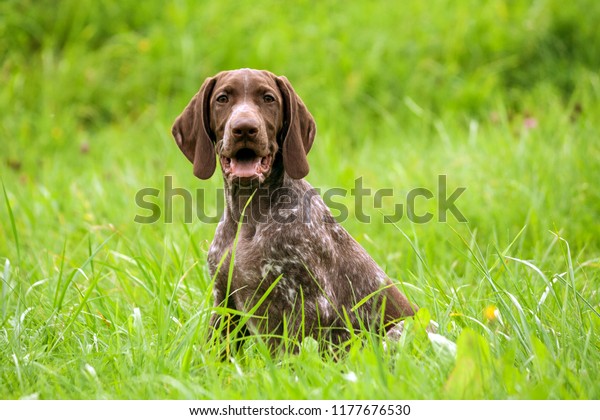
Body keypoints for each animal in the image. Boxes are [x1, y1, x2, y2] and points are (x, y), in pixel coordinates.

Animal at [173, 69, 418, 352]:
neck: (249, 217)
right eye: (222, 98)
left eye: (268, 98)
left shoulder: (309, 305)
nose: (244, 128)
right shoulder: (225, 303)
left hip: (399, 332)